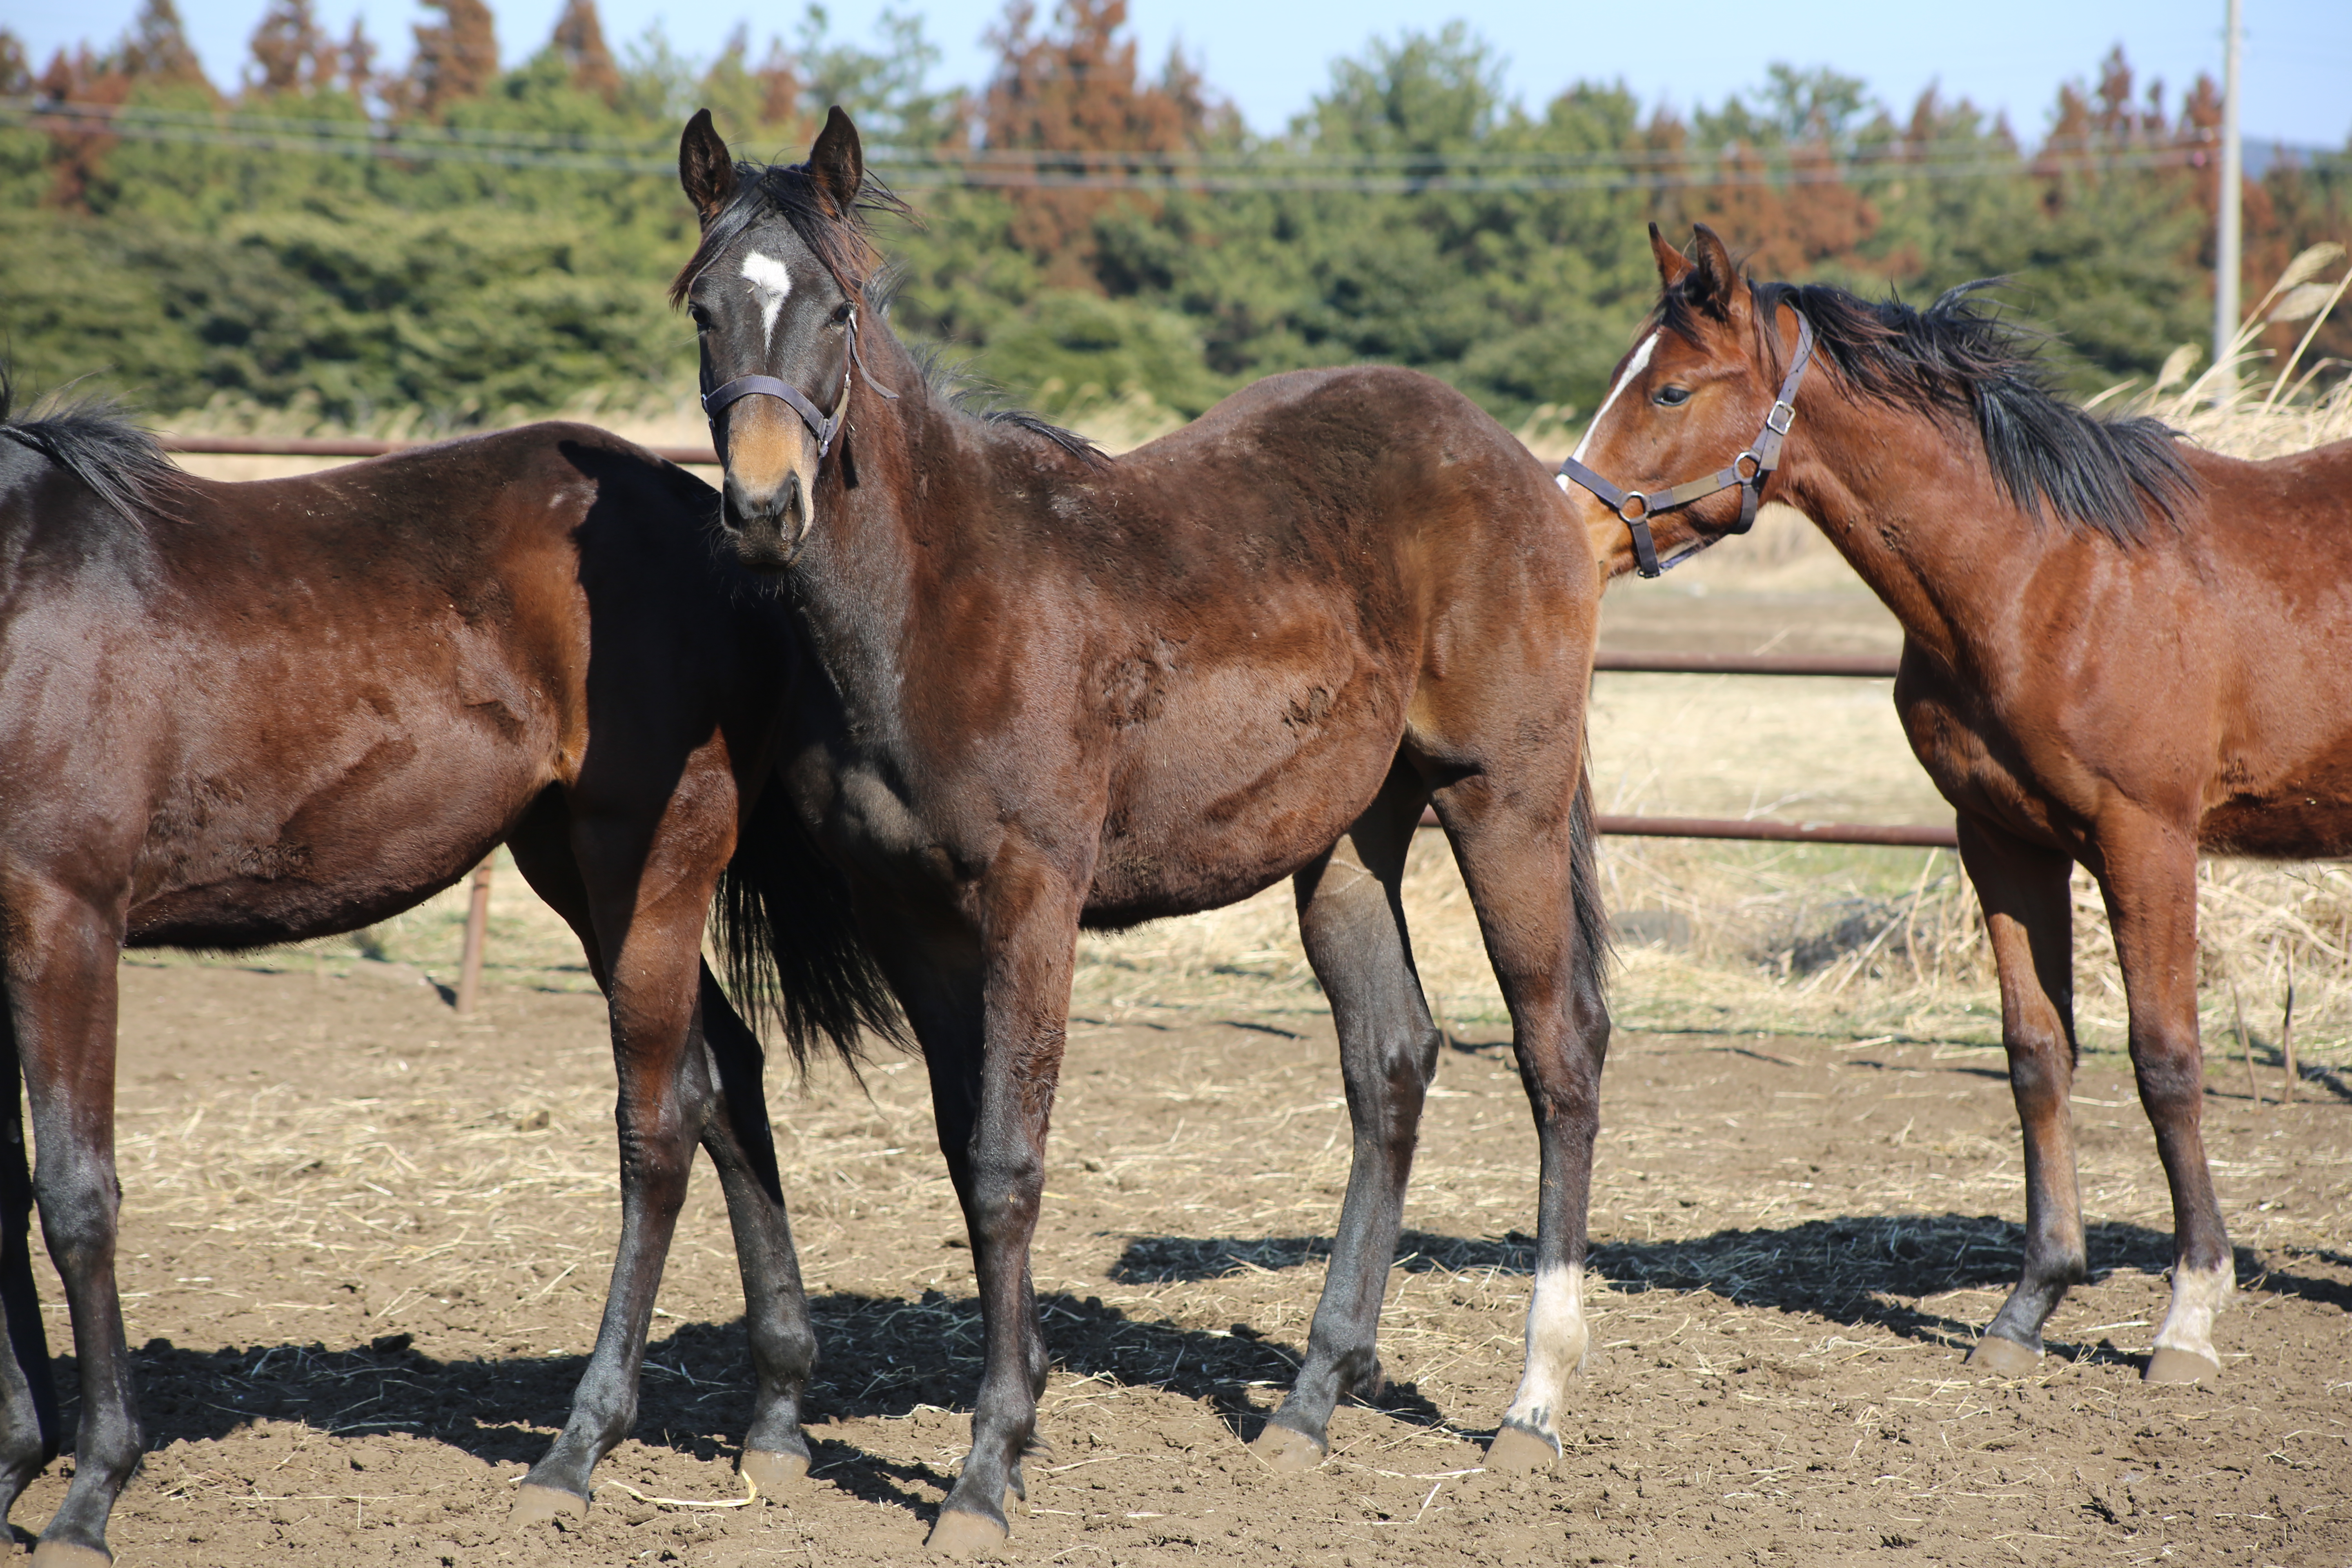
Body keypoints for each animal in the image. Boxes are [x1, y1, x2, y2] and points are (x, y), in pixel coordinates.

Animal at [0, 385, 898, 1561]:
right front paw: (18, 1458)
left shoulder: (64, 916)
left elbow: (74, 1196)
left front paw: (89, 1490)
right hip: (573, 865)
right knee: (731, 1078)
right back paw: (777, 1421)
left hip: (649, 857)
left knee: (662, 1119)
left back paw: (577, 1452)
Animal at [673, 113, 1608, 1561]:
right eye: (706, 308)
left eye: (839, 309)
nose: (767, 510)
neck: (933, 602)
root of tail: (1526, 475)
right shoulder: (913, 919)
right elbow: (968, 1155)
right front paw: (1018, 1416)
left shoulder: (1032, 902)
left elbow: (1010, 1161)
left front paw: (985, 1471)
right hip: (1348, 845)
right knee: (1391, 1064)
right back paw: (1310, 1403)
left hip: (1503, 797)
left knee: (1559, 1052)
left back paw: (1533, 1403)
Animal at [1561, 223, 2352, 1382]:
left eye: (1668, 390)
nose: (1561, 526)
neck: (2046, 577)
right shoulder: (2004, 841)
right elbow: (2036, 1056)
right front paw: (2028, 1306)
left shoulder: (2146, 839)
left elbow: (2165, 1060)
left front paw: (2189, 1316)